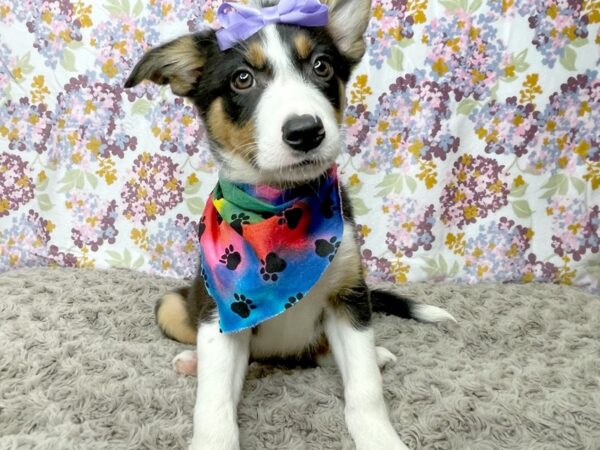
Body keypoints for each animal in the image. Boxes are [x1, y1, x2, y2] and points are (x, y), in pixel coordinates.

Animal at [126, 0, 454, 450]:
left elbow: (365, 388)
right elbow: (214, 404)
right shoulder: (217, 313)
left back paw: (376, 355)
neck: (280, 207)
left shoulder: (350, 295)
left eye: (322, 66)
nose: (306, 131)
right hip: (173, 306)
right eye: (242, 78)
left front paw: (380, 437)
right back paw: (193, 362)